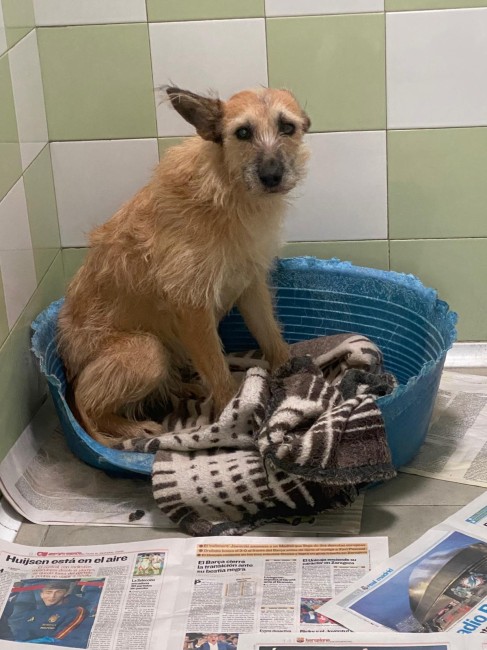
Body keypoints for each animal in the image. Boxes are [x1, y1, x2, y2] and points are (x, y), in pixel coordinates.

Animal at [58, 86, 310, 446]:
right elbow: (218, 371)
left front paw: (289, 370)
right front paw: (233, 417)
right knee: (86, 403)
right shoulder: (192, 310)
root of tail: (68, 369)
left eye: (287, 127)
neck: (229, 192)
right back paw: (132, 428)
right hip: (147, 351)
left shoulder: (251, 287)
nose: (272, 176)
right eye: (242, 133)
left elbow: (270, 336)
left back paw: (185, 387)